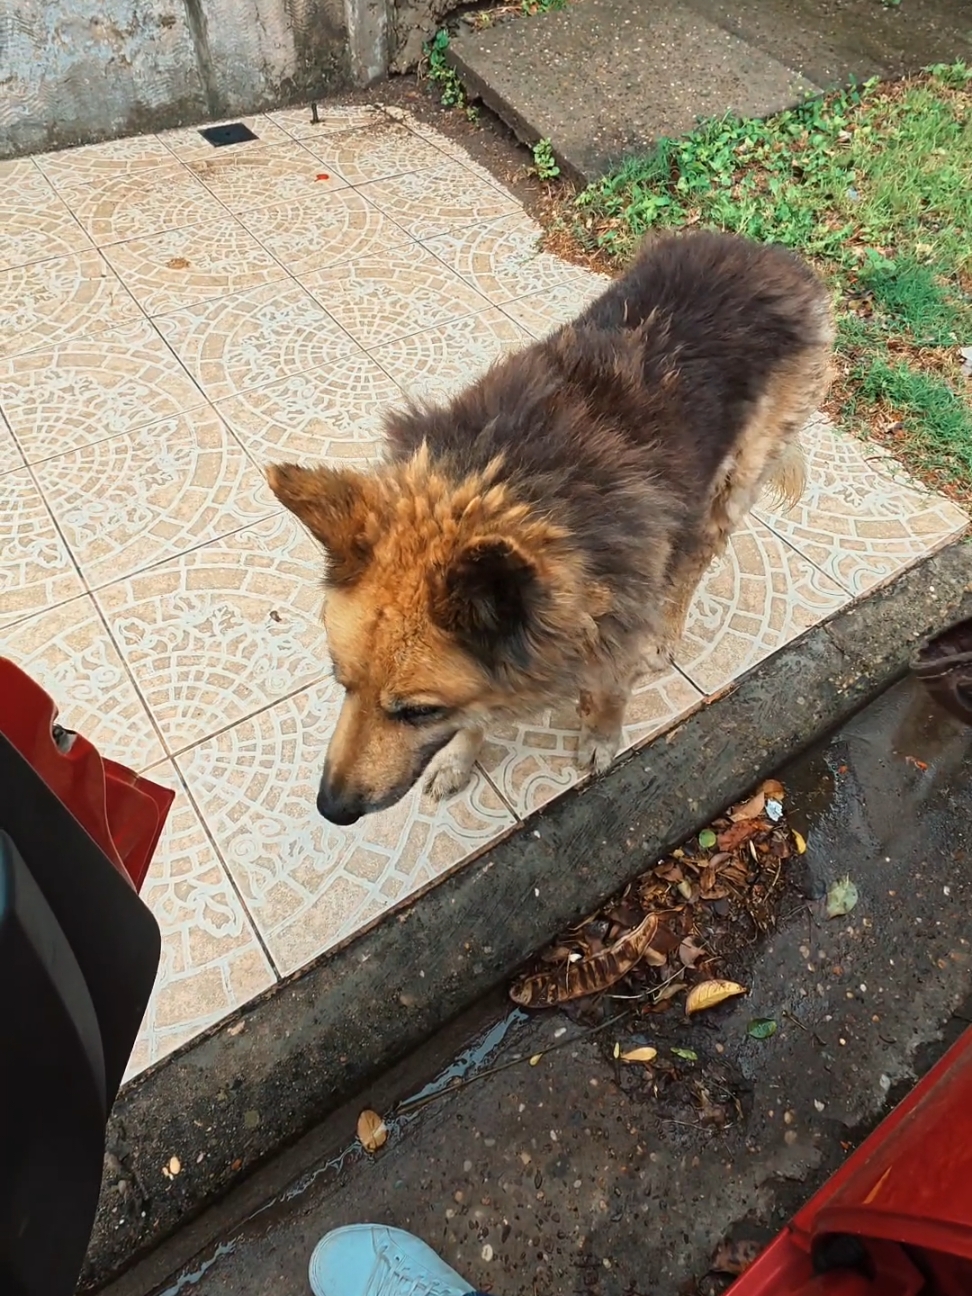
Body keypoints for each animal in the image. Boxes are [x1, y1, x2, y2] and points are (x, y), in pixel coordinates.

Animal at [270, 231, 834, 819]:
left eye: (418, 712)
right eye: (341, 681)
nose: (331, 808)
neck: (508, 482)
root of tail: (769, 255)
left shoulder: (620, 609)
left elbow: (610, 689)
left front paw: (600, 737)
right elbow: (479, 714)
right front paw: (459, 757)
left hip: (729, 488)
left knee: (693, 562)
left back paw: (665, 635)